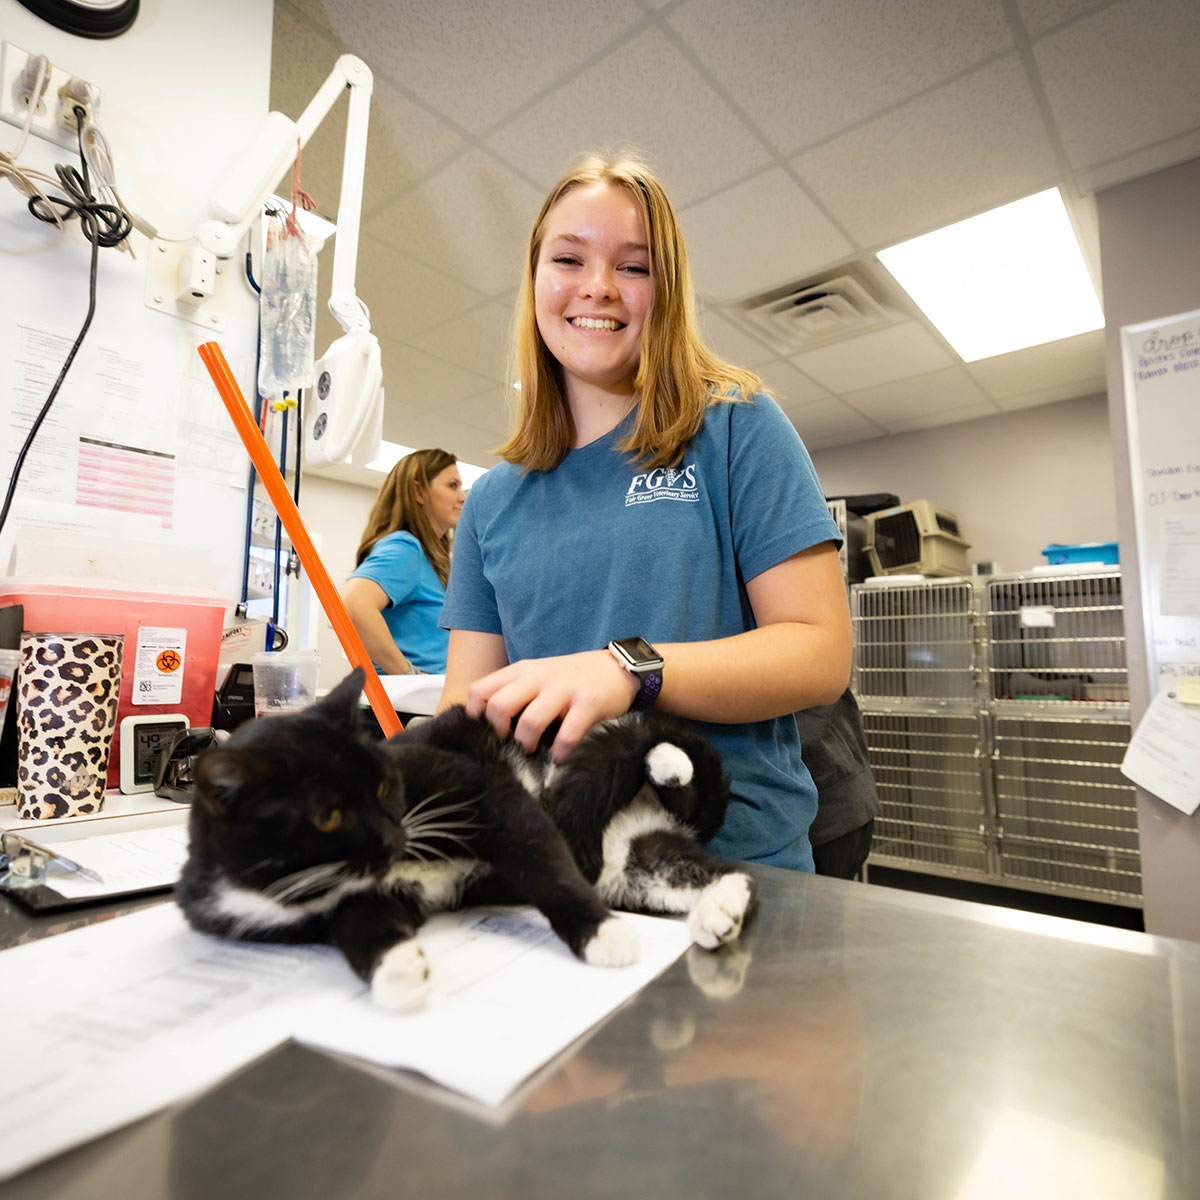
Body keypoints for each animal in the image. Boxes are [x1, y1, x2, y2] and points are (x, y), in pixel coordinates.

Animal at [175, 672, 758, 1008]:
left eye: (385, 783)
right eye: (326, 817)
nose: (392, 834)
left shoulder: (484, 791)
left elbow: (547, 868)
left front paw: (601, 935)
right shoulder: (345, 907)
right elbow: (363, 928)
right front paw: (397, 971)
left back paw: (667, 763)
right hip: (634, 862)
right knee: (713, 870)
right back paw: (717, 913)